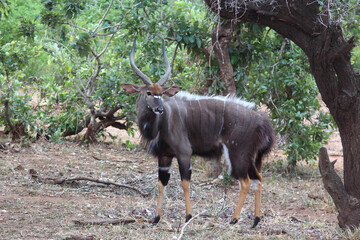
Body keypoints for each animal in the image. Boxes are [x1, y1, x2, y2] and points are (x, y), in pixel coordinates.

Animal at [121, 37, 276, 227]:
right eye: (148, 92)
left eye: (161, 93)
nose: (159, 109)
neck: (159, 125)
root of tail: (261, 120)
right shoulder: (164, 156)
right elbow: (161, 183)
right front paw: (156, 218)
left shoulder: (184, 153)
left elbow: (185, 182)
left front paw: (188, 216)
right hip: (248, 157)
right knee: (258, 179)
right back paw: (255, 220)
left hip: (237, 154)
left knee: (246, 181)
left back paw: (234, 219)